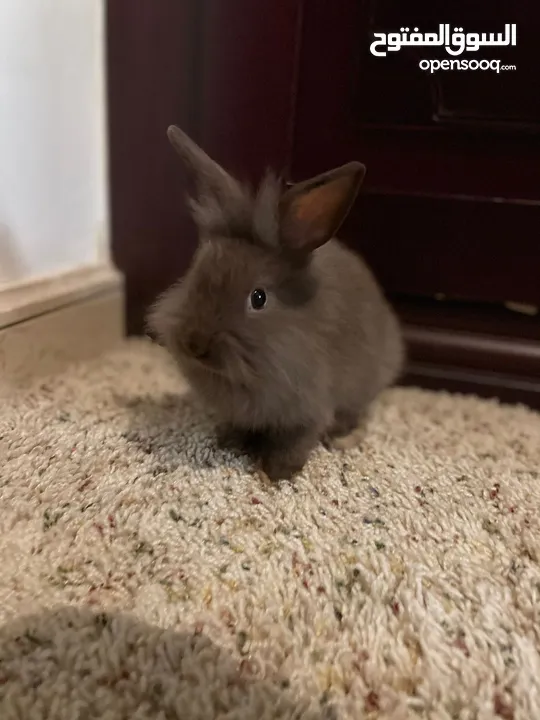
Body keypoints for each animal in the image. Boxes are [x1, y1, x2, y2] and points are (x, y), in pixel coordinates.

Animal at [148, 126, 404, 480]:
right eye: (196, 271)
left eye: (259, 298)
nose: (194, 344)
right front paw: (228, 442)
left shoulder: (308, 410)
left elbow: (298, 441)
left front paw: (279, 472)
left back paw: (342, 439)